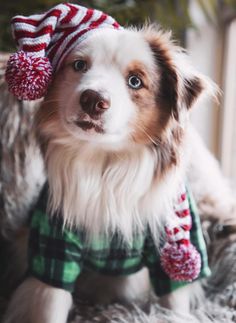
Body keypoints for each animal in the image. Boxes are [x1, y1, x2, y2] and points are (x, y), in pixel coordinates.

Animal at [1, 3, 227, 323]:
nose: (93, 100)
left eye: (135, 81)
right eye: (79, 65)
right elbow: (50, 300)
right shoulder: (53, 241)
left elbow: (174, 298)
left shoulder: (173, 239)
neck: (106, 163)